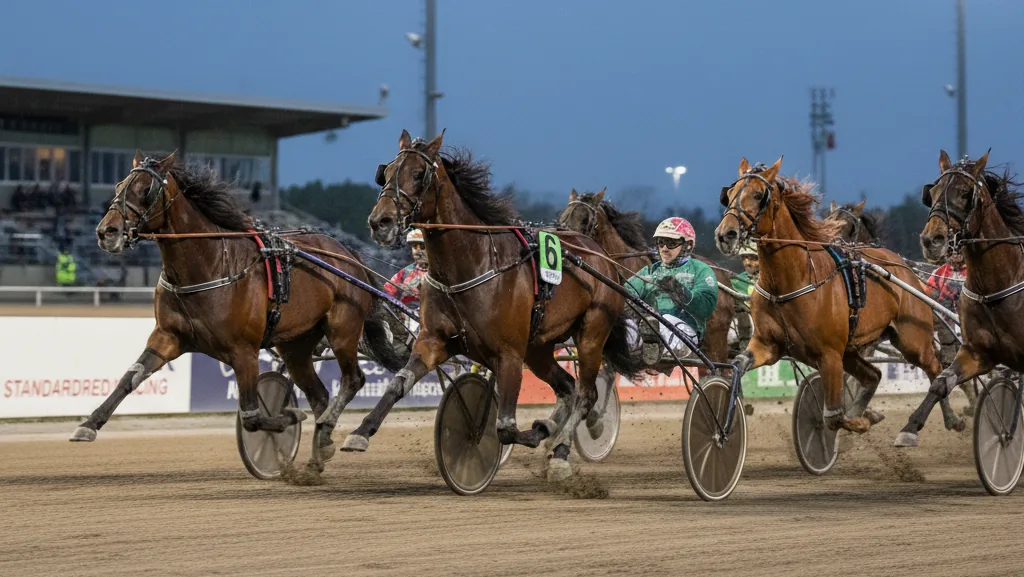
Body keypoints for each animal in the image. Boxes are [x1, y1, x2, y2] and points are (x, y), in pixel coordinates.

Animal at [76, 151, 407, 472]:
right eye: (118, 186)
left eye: (145, 190)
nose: (107, 231)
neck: (207, 266)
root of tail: (347, 253)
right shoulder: (167, 337)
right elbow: (130, 377)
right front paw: (89, 424)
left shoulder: (244, 350)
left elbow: (252, 416)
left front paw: (287, 418)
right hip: (295, 345)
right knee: (319, 395)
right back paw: (320, 448)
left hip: (342, 329)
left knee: (352, 380)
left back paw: (338, 431)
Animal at [329, 130, 642, 481]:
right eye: (386, 171)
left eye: (418, 174)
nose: (380, 221)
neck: (470, 265)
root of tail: (599, 255)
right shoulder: (433, 341)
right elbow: (398, 383)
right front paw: (360, 432)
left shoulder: (509, 354)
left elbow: (505, 427)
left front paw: (530, 434)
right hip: (538, 348)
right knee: (567, 387)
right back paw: (551, 428)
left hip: (590, 334)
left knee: (586, 394)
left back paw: (560, 450)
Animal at [715, 157, 963, 439]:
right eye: (730, 194)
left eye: (758, 195)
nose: (725, 234)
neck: (789, 282)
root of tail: (904, 269)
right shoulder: (767, 345)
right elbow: (738, 362)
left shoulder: (829, 355)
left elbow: (832, 416)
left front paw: (858, 422)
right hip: (851, 351)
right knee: (873, 375)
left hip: (912, 339)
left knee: (934, 368)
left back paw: (949, 419)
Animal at [897, 150, 1024, 447]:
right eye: (932, 192)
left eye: (966, 193)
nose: (932, 240)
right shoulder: (977, 353)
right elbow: (941, 382)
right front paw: (910, 428)